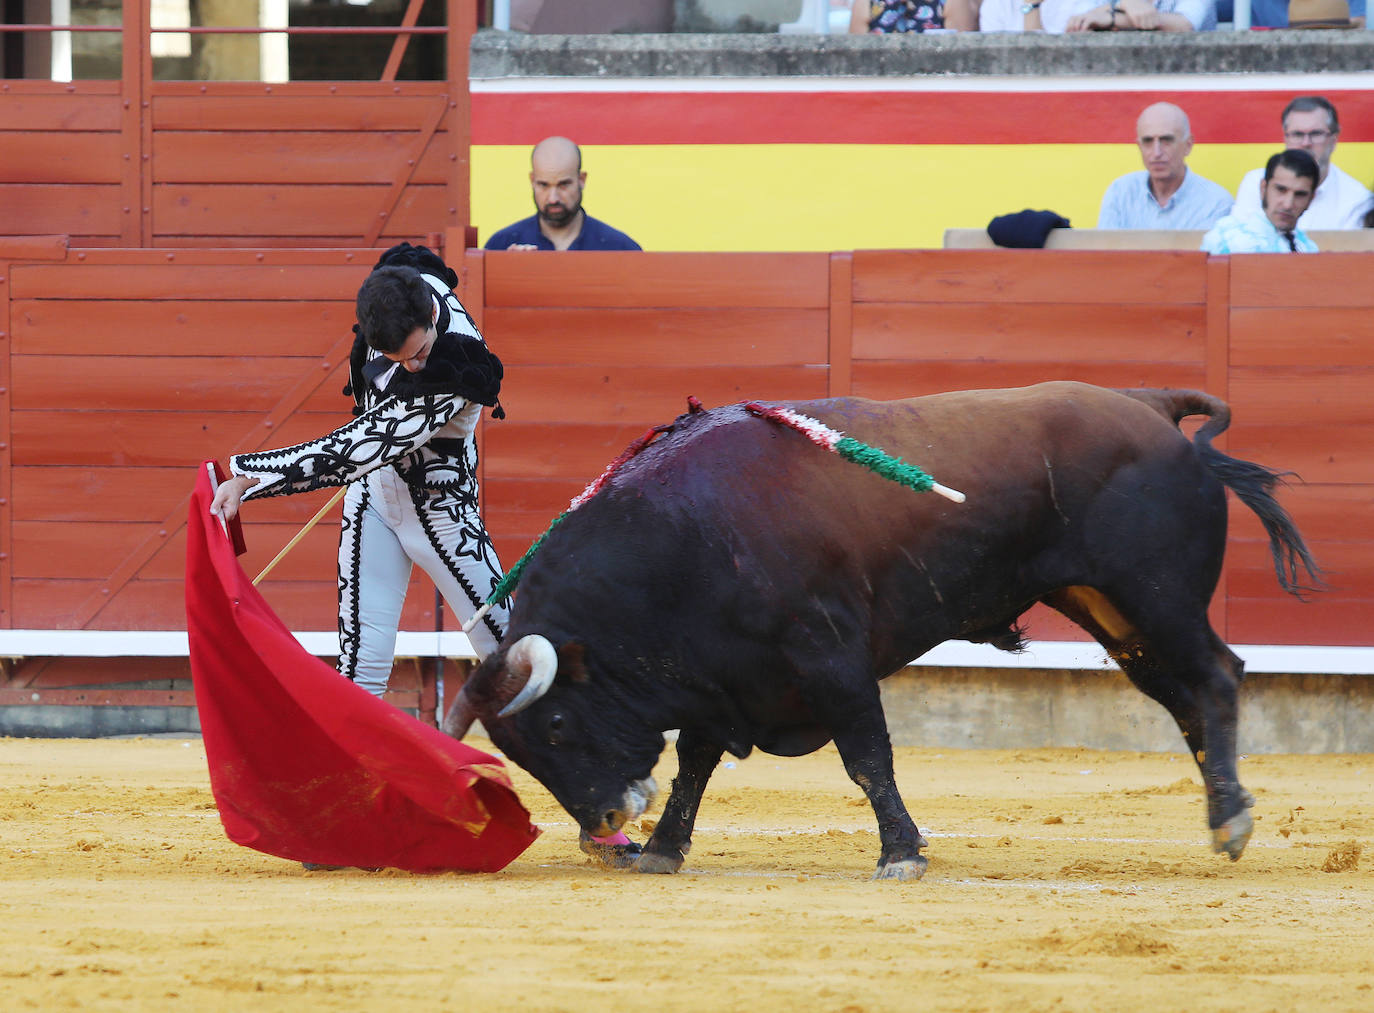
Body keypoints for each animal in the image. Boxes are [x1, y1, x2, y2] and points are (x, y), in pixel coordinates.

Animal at [442, 379, 1319, 879]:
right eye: (520, 753)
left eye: (558, 724)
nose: (602, 823)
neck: (683, 536)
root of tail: (1151, 409)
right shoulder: (719, 674)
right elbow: (695, 763)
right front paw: (663, 849)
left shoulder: (830, 659)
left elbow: (866, 758)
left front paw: (901, 852)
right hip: (1113, 609)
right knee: (1181, 695)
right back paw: (1224, 812)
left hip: (1157, 595)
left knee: (1217, 675)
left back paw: (1232, 816)